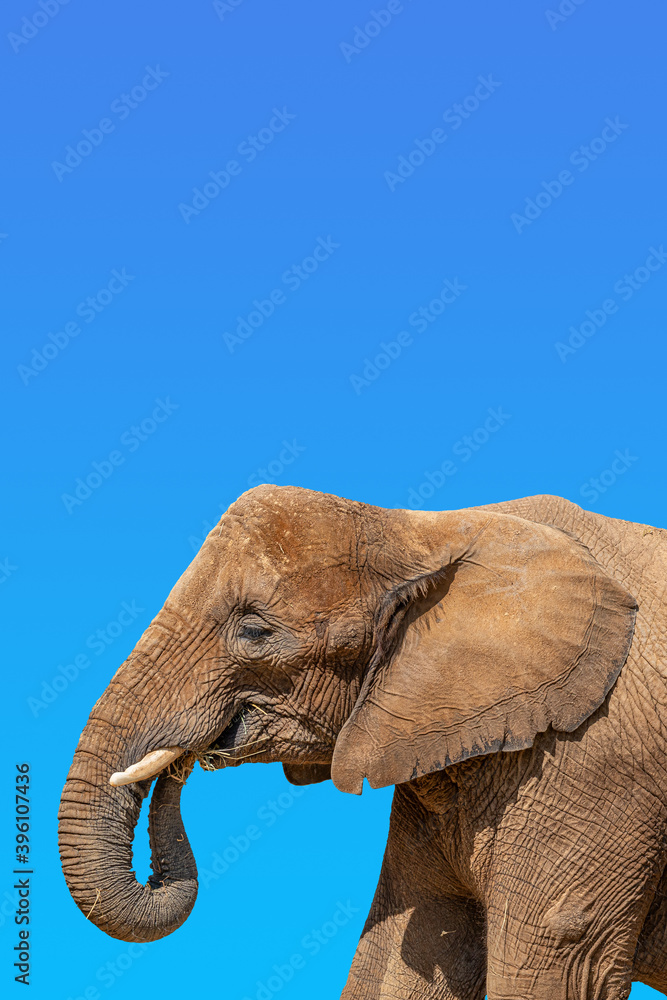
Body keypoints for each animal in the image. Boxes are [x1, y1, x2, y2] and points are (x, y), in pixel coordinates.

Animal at [58, 485, 667, 999]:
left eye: (253, 631)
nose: (183, 760)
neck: (425, 530)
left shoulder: (596, 758)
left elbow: (562, 950)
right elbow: (407, 949)